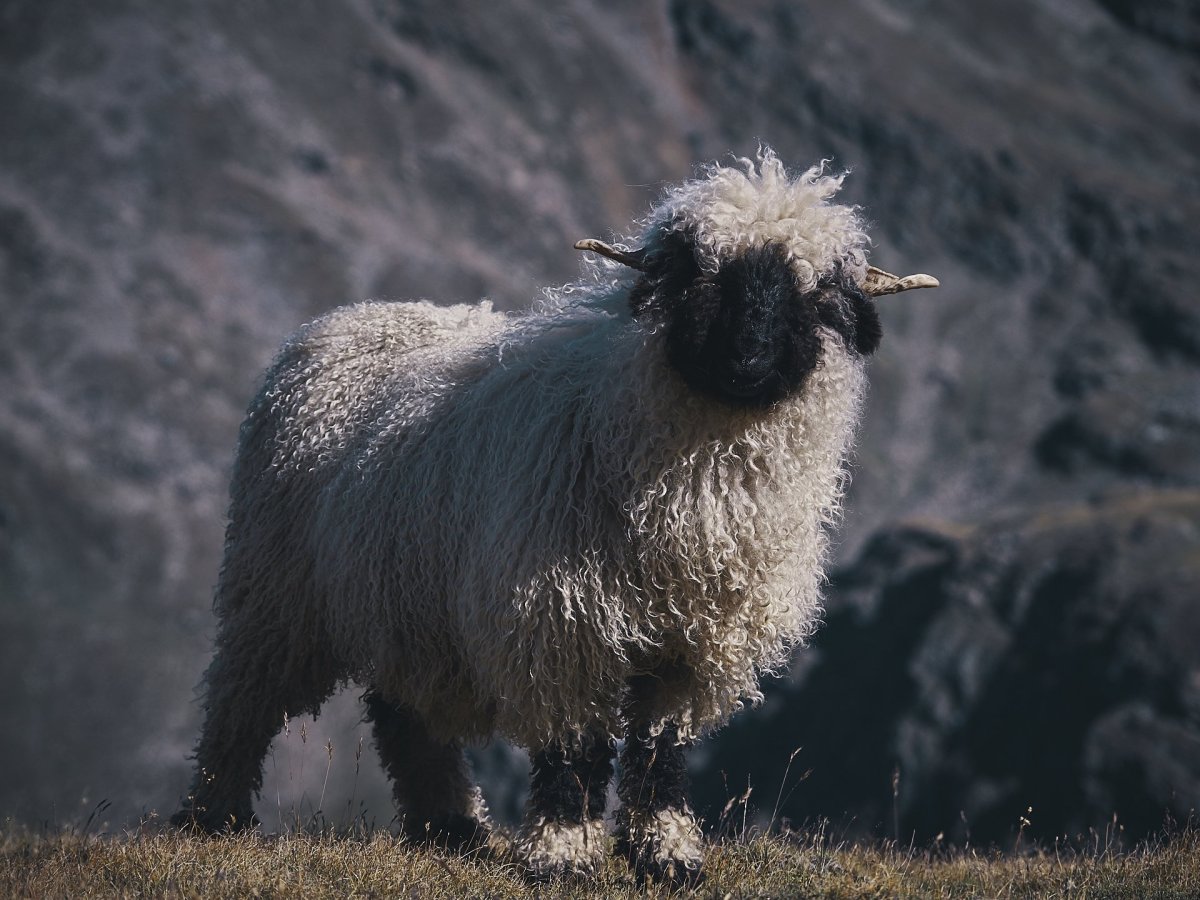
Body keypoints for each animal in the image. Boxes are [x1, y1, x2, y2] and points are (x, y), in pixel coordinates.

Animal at [173, 147, 937, 884]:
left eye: (817, 293)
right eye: (700, 275)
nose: (748, 359)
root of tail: (347, 317)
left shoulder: (694, 645)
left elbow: (661, 752)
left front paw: (668, 855)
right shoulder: (562, 623)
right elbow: (575, 749)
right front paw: (565, 855)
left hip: (408, 601)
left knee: (404, 718)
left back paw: (450, 824)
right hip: (274, 590)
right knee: (241, 701)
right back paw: (215, 816)